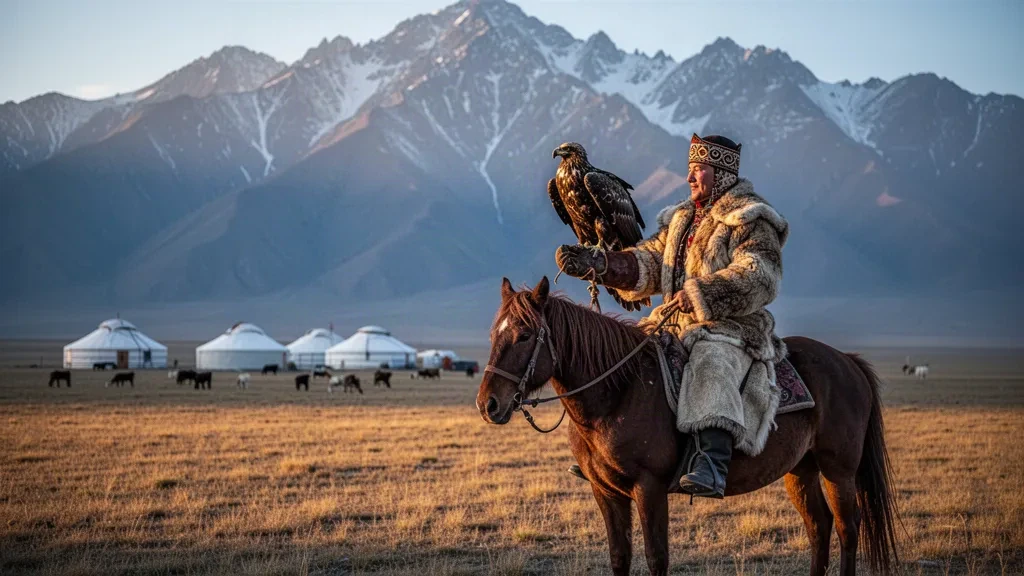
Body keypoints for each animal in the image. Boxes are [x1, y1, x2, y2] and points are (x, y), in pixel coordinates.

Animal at [476, 278, 900, 576]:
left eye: (525, 334)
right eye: (494, 334)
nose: (488, 404)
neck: (618, 392)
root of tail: (847, 361)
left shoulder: (648, 488)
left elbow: (656, 557)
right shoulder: (605, 491)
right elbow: (619, 557)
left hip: (838, 469)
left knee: (847, 529)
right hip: (801, 470)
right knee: (819, 526)